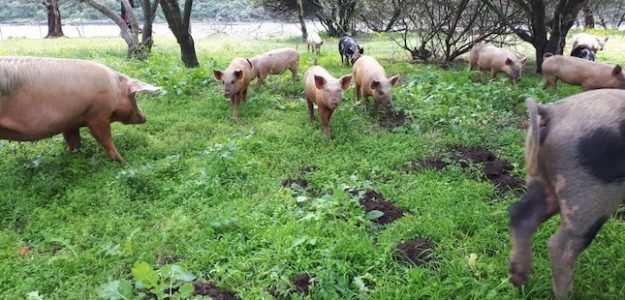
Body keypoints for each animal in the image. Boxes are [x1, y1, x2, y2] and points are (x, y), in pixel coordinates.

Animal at [0, 55, 163, 161]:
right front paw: (121, 161)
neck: (115, 88)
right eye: (134, 96)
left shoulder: (69, 122)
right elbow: (105, 139)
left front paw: (75, 156)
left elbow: (73, 141)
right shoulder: (98, 114)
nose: (144, 117)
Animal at [510, 89, 624, 300]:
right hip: (592, 192)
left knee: (521, 213)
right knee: (560, 245)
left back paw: (519, 280)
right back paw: (567, 294)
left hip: (543, 178)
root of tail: (552, 112)